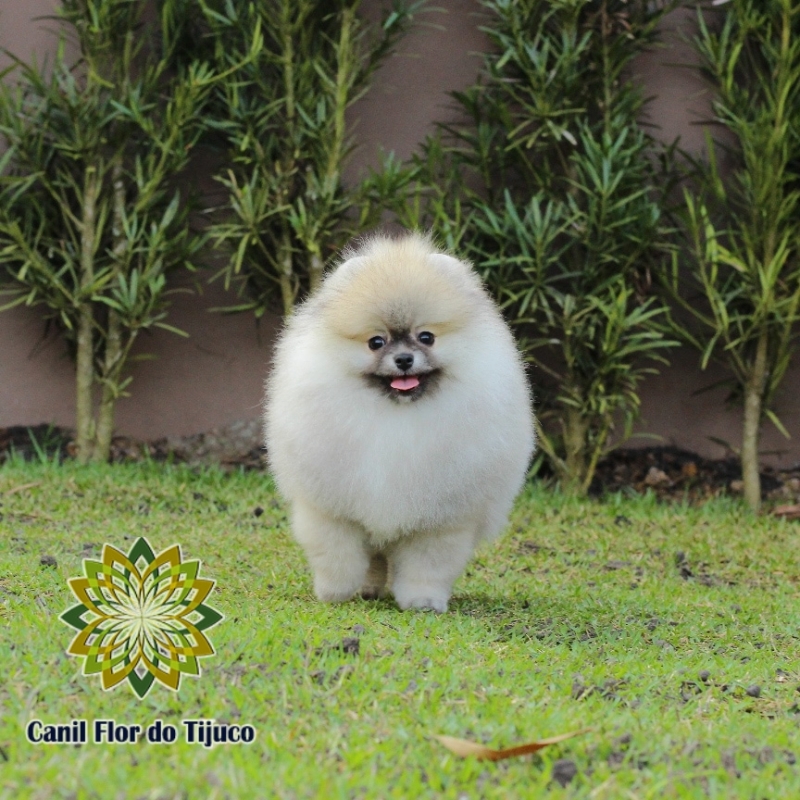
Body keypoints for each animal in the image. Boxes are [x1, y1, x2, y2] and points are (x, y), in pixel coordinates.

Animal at [266, 231, 536, 612]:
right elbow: (337, 554)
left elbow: (428, 564)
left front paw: (422, 601)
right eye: (376, 342)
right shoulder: (331, 509)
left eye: (426, 337)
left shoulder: (441, 518)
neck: (396, 415)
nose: (404, 359)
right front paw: (335, 591)